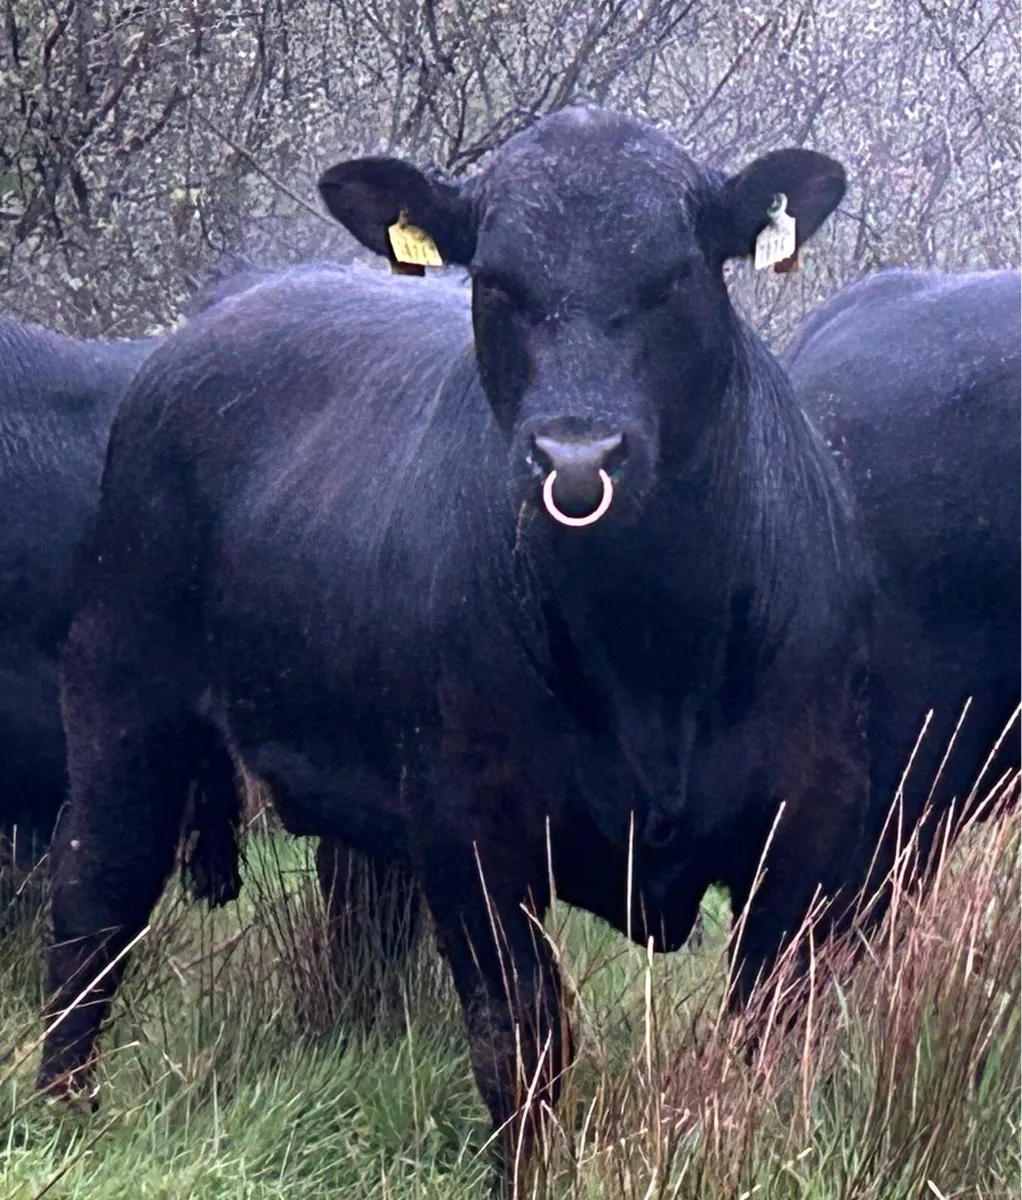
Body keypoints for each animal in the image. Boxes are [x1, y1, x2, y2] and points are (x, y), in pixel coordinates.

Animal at [39, 107, 873, 1176]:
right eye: (497, 281)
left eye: (675, 276)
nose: (576, 456)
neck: (652, 649)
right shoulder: (472, 828)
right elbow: (519, 1039)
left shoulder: (811, 830)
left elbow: (770, 1038)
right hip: (123, 694)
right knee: (95, 893)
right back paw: (63, 1112)